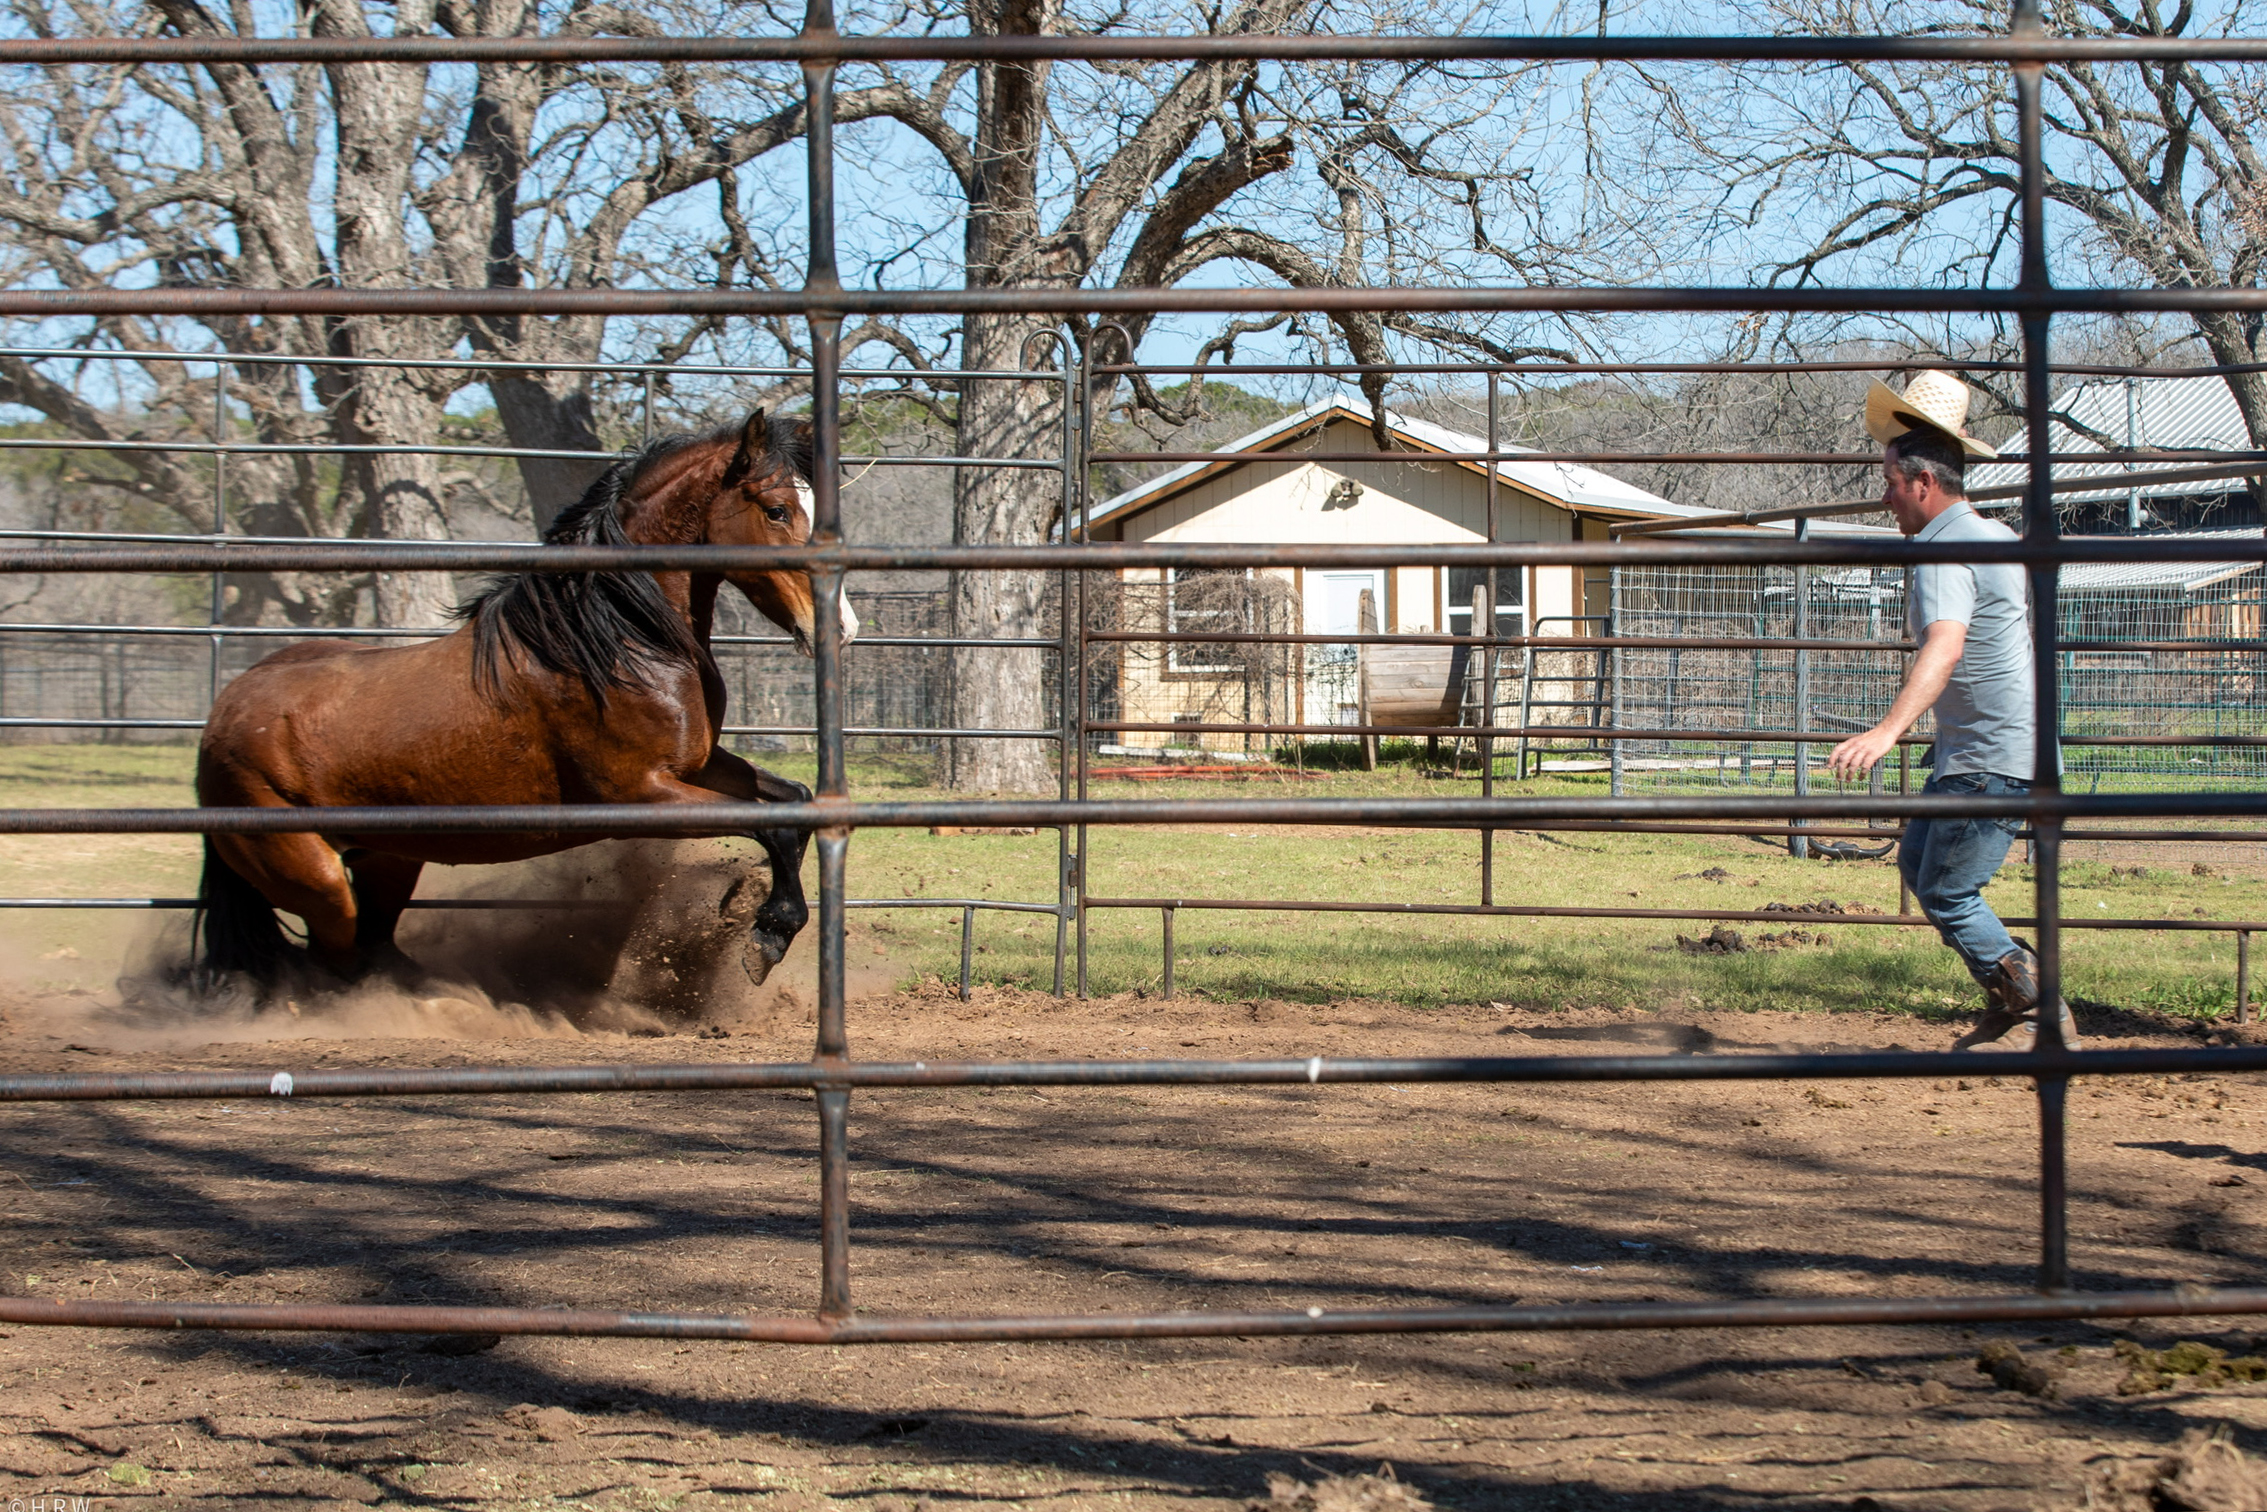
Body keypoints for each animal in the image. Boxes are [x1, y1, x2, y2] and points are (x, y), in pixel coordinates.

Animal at [192, 408, 855, 991]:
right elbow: (773, 824)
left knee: (375, 947)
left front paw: (762, 918)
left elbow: (794, 803)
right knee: (335, 959)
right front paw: (765, 936)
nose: (841, 628)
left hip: (386, 859)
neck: (612, 640)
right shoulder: (640, 794)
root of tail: (220, 719)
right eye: (777, 509)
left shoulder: (696, 765)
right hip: (318, 881)